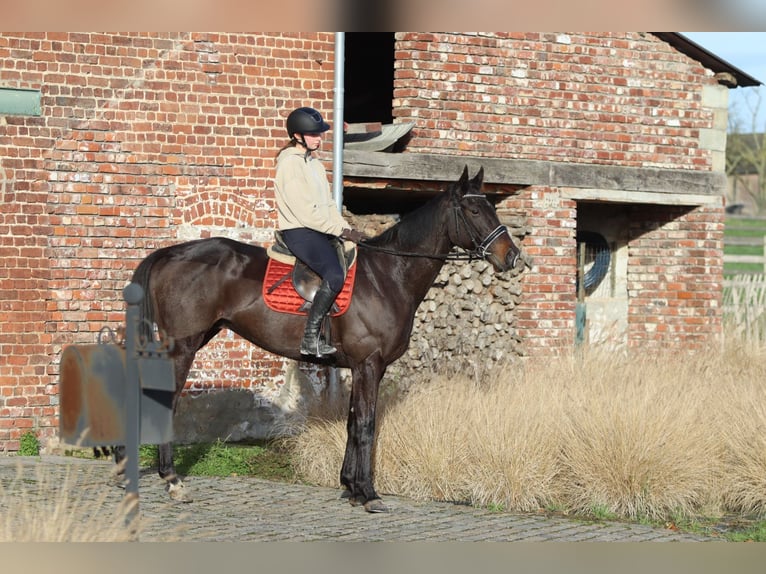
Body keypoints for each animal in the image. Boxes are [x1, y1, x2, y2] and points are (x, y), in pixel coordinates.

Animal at [117, 164, 523, 513]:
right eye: (473, 210)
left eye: (492, 207)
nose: (512, 256)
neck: (388, 275)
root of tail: (169, 254)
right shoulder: (369, 365)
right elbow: (366, 424)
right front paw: (368, 493)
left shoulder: (362, 368)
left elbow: (353, 422)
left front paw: (349, 487)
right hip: (182, 347)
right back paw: (171, 481)